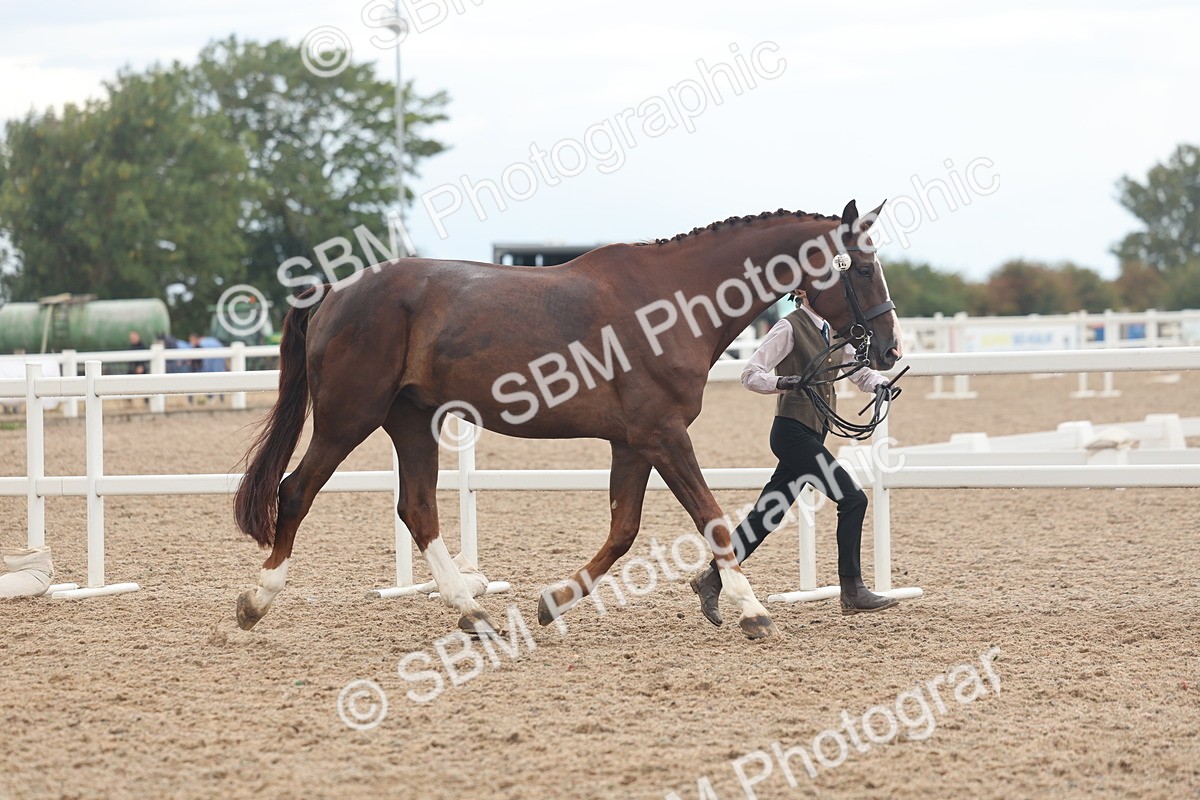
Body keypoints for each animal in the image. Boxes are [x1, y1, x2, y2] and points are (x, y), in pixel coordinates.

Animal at [233, 200, 901, 640]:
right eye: (864, 268)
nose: (890, 350)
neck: (675, 301)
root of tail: (335, 291)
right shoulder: (664, 435)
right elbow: (710, 521)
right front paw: (752, 611)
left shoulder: (633, 443)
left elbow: (624, 530)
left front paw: (552, 602)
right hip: (347, 418)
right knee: (296, 492)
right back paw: (256, 602)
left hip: (412, 423)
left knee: (417, 509)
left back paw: (473, 612)